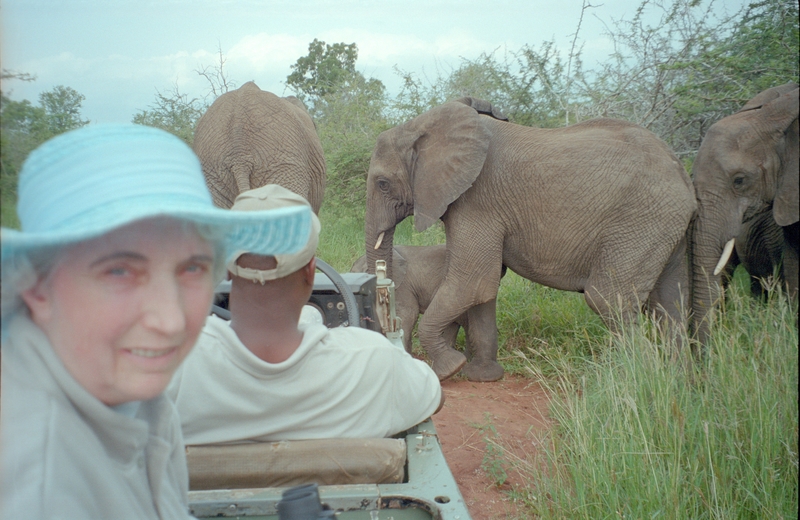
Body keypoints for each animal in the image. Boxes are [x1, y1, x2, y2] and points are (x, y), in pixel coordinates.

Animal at [366, 97, 696, 382]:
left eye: (382, 184)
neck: (420, 126)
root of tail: (681, 171)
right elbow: (483, 288)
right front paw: (483, 376)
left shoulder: (477, 201)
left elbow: (472, 281)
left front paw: (449, 368)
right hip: (664, 228)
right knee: (670, 305)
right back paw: (677, 382)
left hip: (642, 221)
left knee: (608, 298)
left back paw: (631, 382)